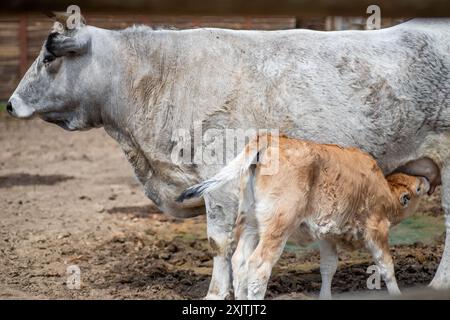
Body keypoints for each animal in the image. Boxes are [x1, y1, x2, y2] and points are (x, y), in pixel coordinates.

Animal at [6, 16, 450, 298]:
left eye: (49, 58)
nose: (9, 104)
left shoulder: (219, 179)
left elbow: (219, 243)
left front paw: (216, 293)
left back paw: (437, 284)